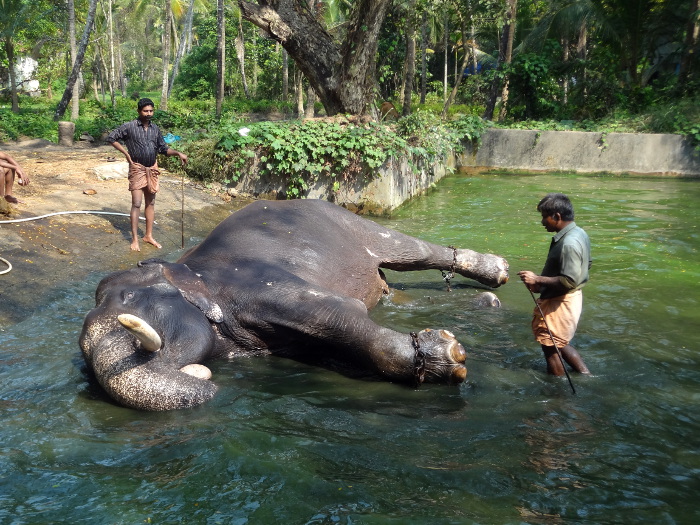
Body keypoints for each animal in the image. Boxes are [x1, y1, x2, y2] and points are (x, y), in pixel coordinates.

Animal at [80, 198, 508, 410]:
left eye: (129, 299)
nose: (203, 378)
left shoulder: (259, 284)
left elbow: (339, 314)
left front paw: (448, 356)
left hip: (355, 225)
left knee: (412, 251)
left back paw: (497, 272)